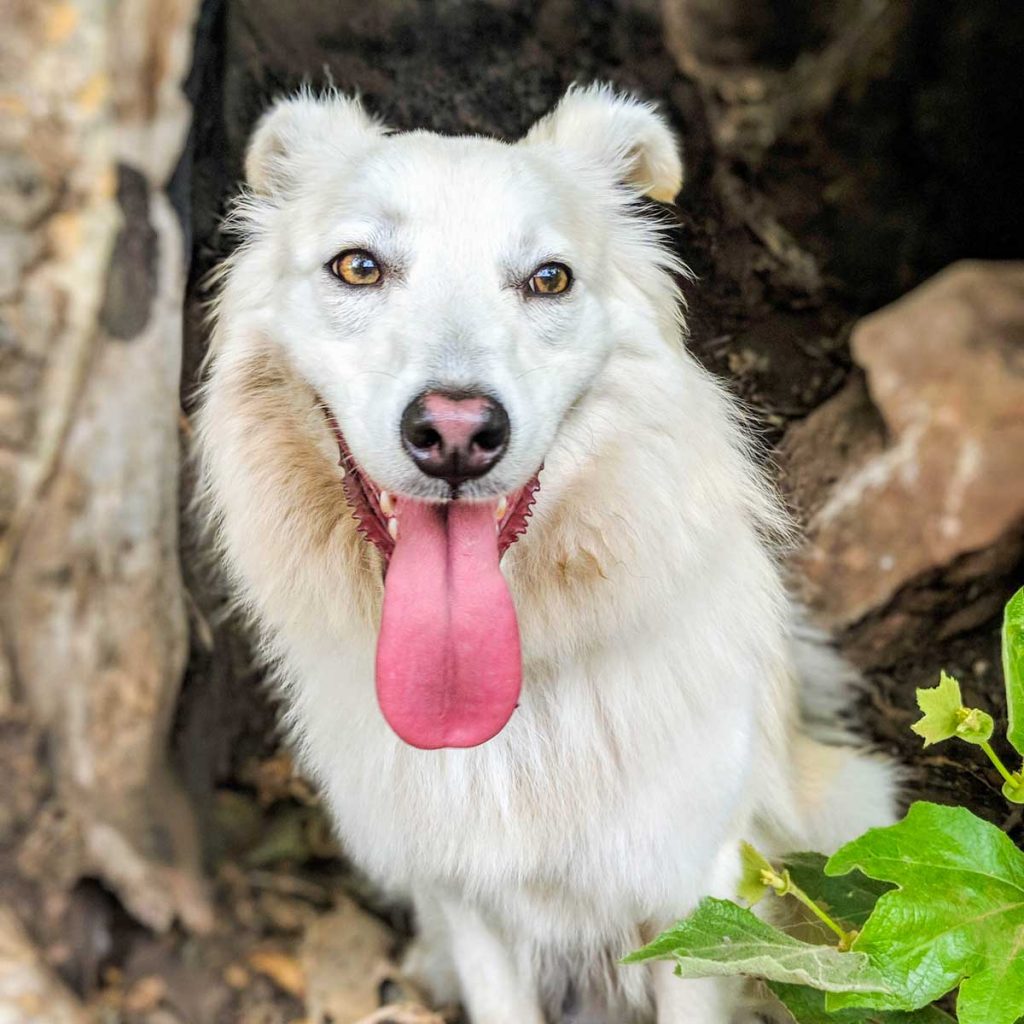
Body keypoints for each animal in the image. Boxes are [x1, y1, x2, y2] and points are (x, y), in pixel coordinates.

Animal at [195, 83, 892, 1019]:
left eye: (547, 279)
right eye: (359, 267)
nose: (456, 433)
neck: (513, 701)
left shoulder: (696, 892)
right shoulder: (467, 901)